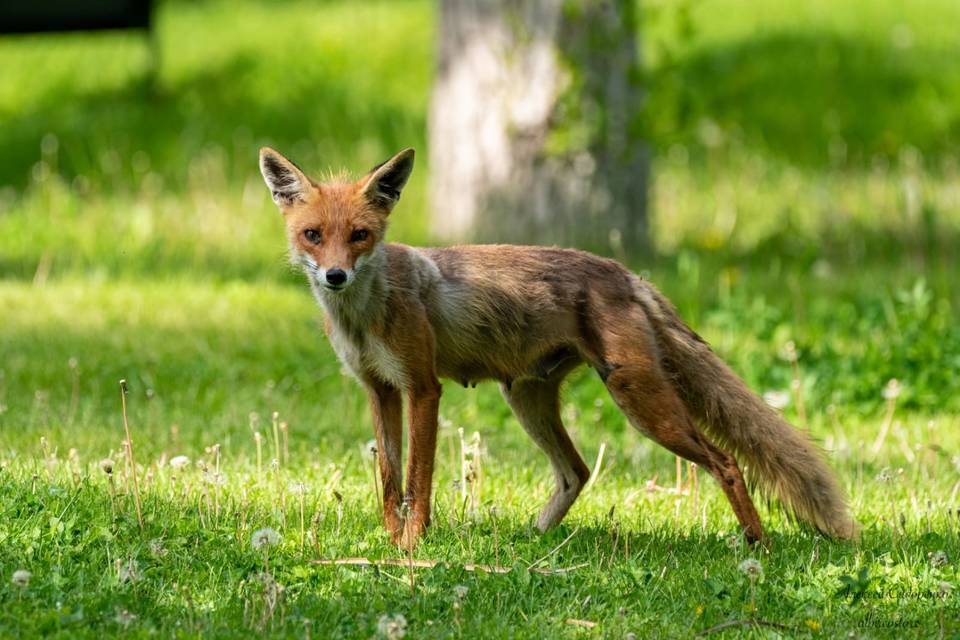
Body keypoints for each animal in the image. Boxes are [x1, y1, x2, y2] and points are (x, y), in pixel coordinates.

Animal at [258, 146, 859, 547]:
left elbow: (417, 480)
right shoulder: (380, 390)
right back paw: (535, 538)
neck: (364, 318)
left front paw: (411, 547)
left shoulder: (423, 389)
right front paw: (388, 543)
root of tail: (624, 272)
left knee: (727, 460)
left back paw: (755, 544)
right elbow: (388, 478)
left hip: (638, 399)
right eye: (313, 235)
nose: (335, 275)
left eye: (360, 235)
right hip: (528, 400)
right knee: (578, 471)